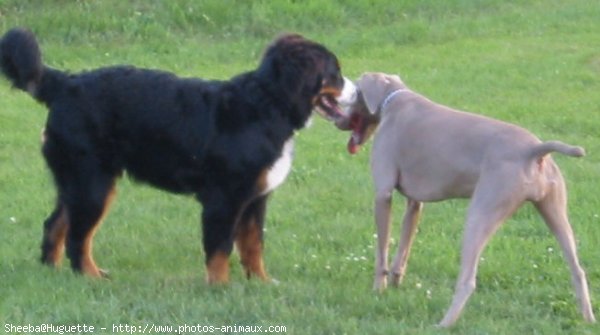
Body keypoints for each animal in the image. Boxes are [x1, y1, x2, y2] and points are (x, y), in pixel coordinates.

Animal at [0, 28, 354, 284]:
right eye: (335, 73)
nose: (355, 92)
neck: (267, 104)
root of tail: (64, 82)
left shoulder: (256, 197)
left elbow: (253, 244)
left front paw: (261, 283)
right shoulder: (225, 198)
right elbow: (220, 248)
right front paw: (220, 287)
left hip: (78, 181)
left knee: (56, 224)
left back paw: (54, 270)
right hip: (93, 182)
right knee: (78, 236)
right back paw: (90, 276)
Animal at [336, 72, 592, 326]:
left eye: (352, 94)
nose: (338, 122)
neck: (394, 98)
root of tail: (534, 150)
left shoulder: (383, 194)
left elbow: (382, 250)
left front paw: (379, 289)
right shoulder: (415, 204)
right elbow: (404, 248)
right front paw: (396, 284)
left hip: (481, 212)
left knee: (468, 280)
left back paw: (443, 324)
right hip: (554, 210)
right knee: (577, 270)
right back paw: (588, 319)